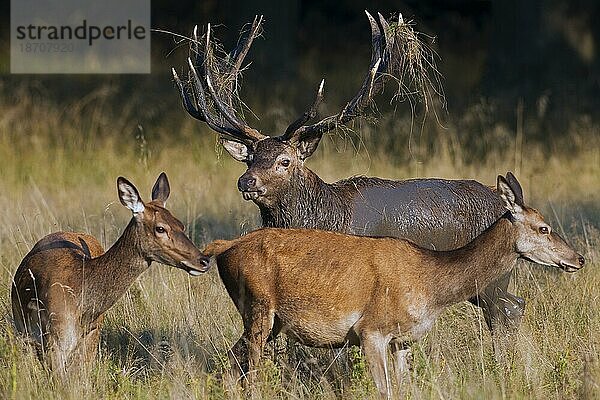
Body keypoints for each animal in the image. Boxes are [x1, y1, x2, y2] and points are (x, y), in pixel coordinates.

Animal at [200, 172, 580, 396]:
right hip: (258, 307)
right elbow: (385, 391)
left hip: (268, 320)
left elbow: (406, 388)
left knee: (230, 364)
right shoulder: (371, 330)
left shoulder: (403, 339)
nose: (578, 259)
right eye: (543, 227)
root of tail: (224, 247)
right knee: (249, 370)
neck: (429, 285)